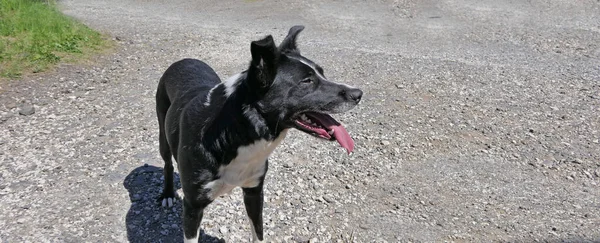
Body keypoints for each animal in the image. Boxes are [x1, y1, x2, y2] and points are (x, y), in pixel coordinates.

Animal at [155, 25, 360, 242]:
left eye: (322, 73)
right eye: (307, 81)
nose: (358, 94)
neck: (235, 132)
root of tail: (184, 60)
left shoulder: (254, 191)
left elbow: (258, 232)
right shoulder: (193, 206)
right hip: (163, 134)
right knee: (167, 163)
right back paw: (167, 194)